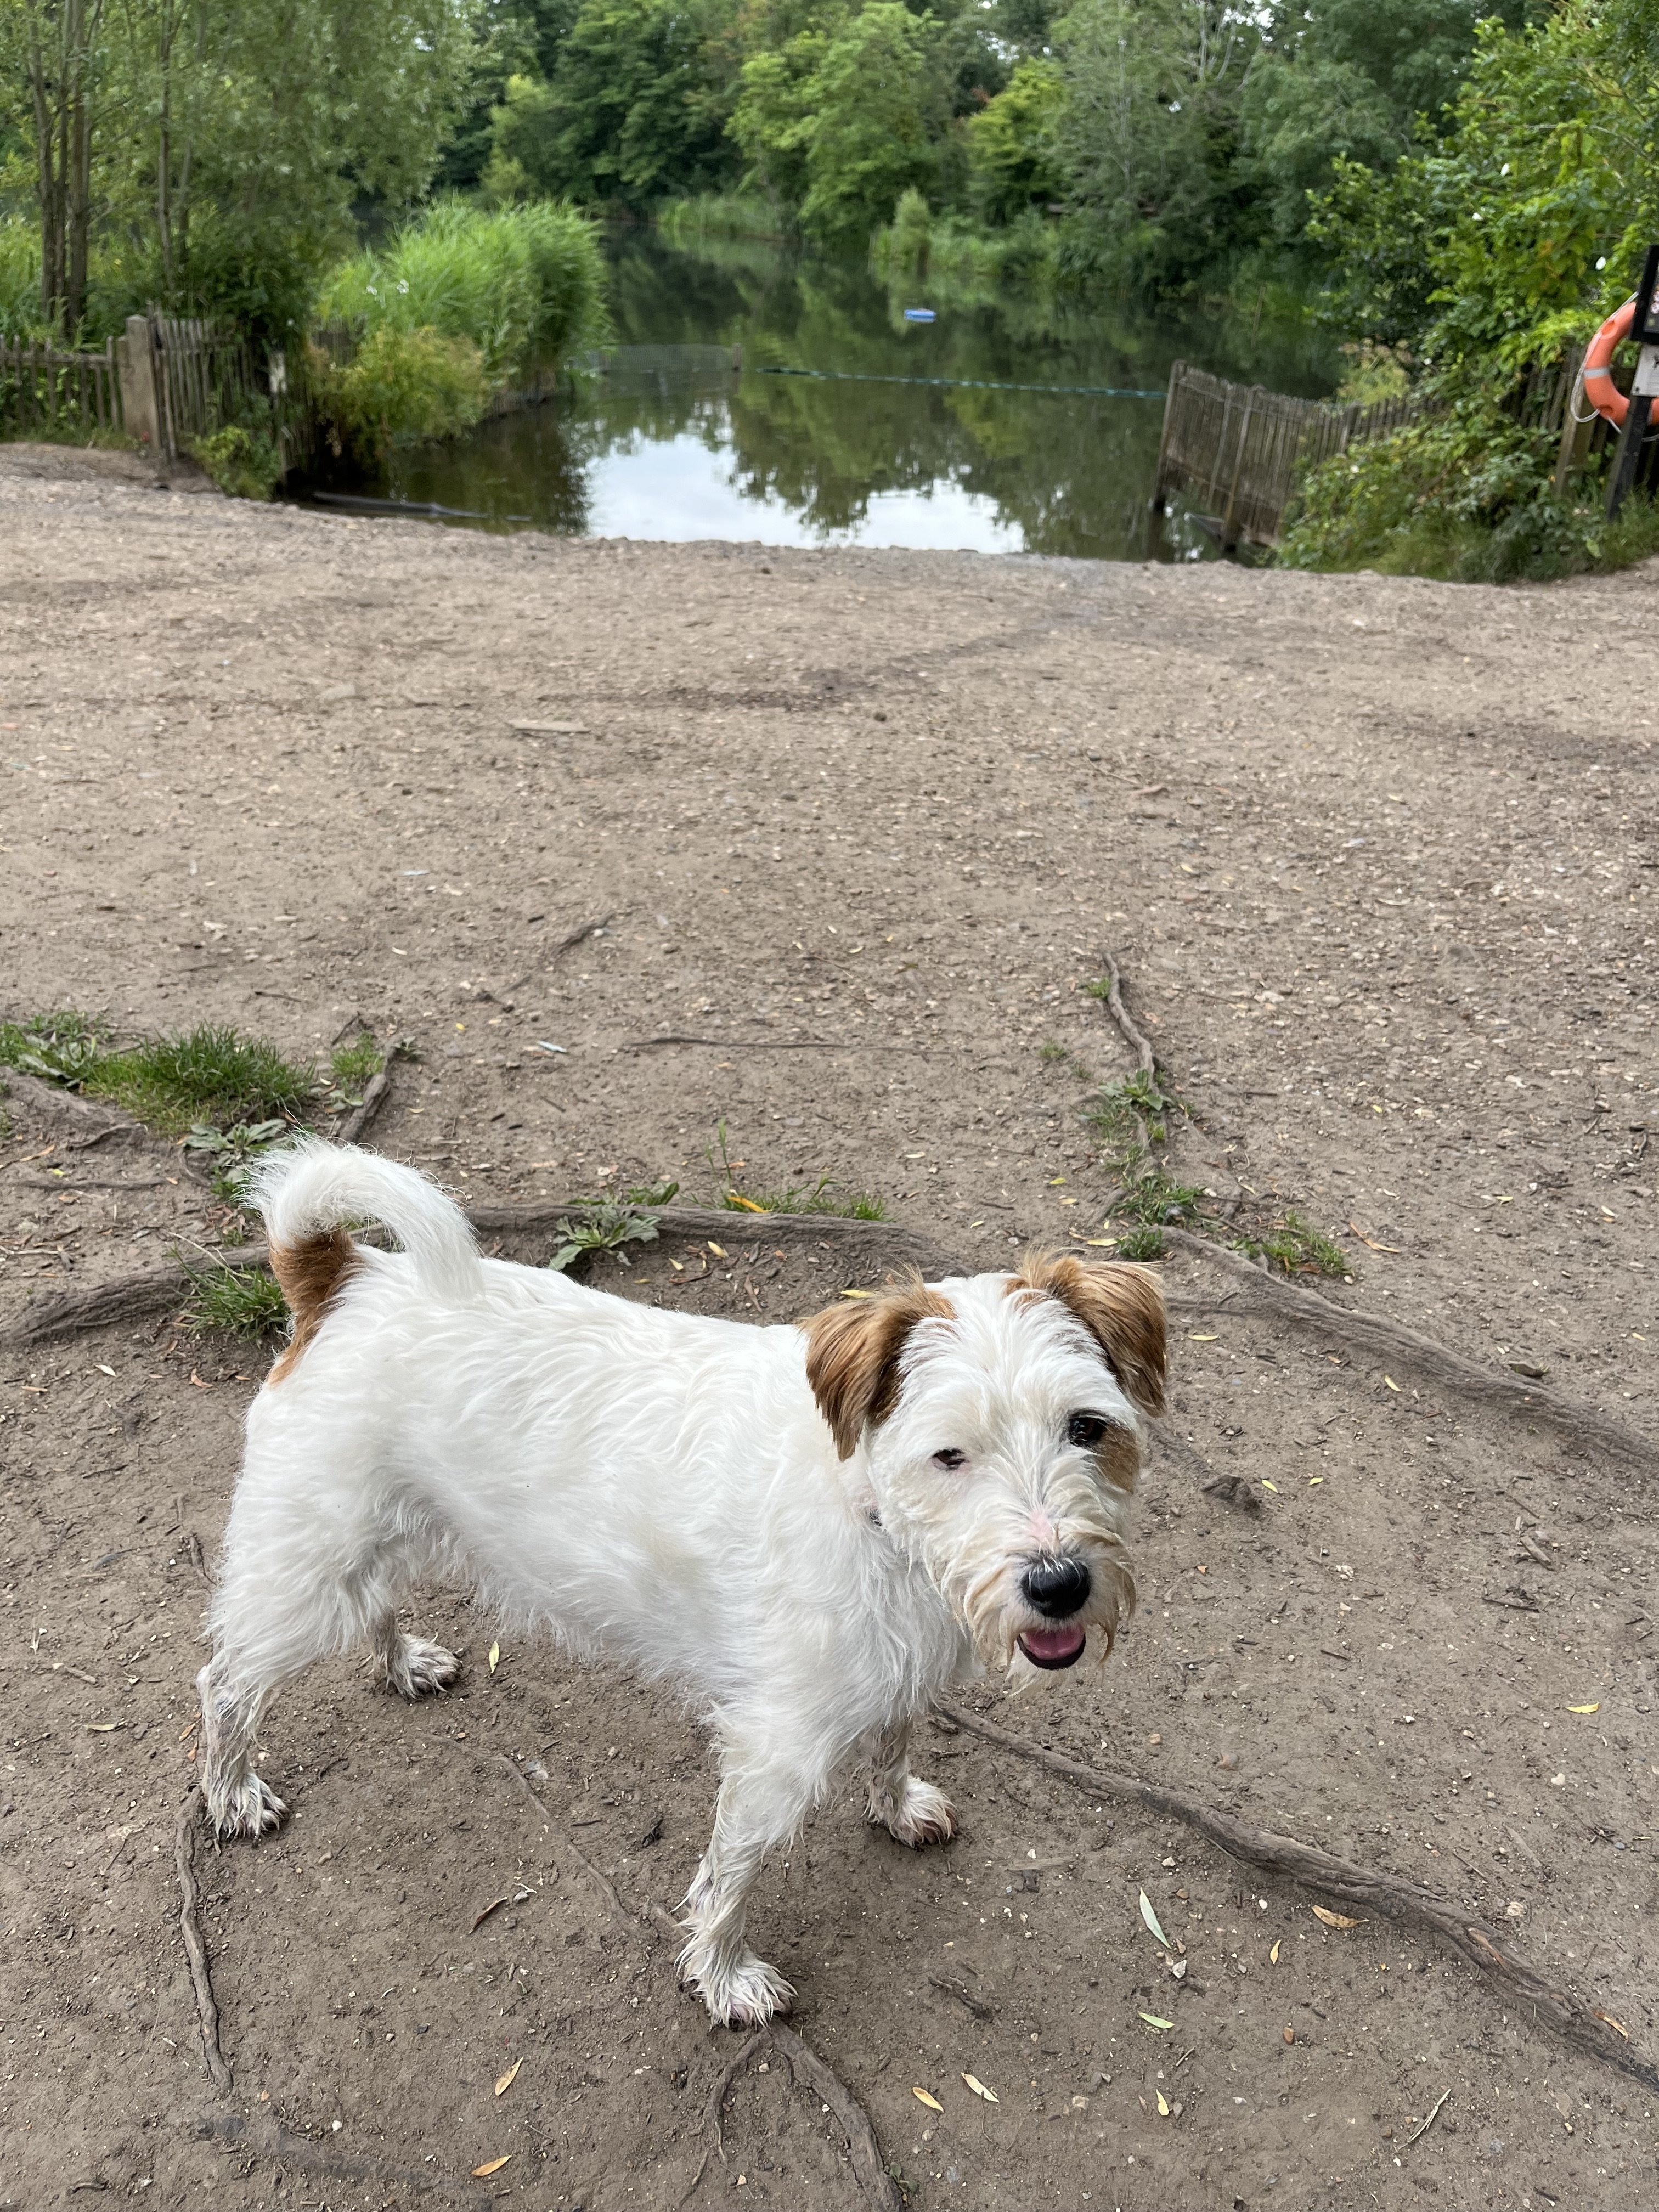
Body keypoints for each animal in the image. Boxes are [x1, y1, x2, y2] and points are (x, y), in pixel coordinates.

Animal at [197, 1141, 1164, 2026]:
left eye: (1087, 1427)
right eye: (950, 1454)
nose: (1059, 1584)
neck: (873, 1512)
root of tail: (346, 1276)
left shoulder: (894, 1678)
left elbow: (891, 1749)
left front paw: (897, 1808)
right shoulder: (774, 1751)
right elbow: (731, 1876)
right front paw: (725, 1977)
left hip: (369, 1546)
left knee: (375, 1610)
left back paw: (400, 1666)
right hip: (303, 1577)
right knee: (224, 1684)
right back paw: (234, 1794)